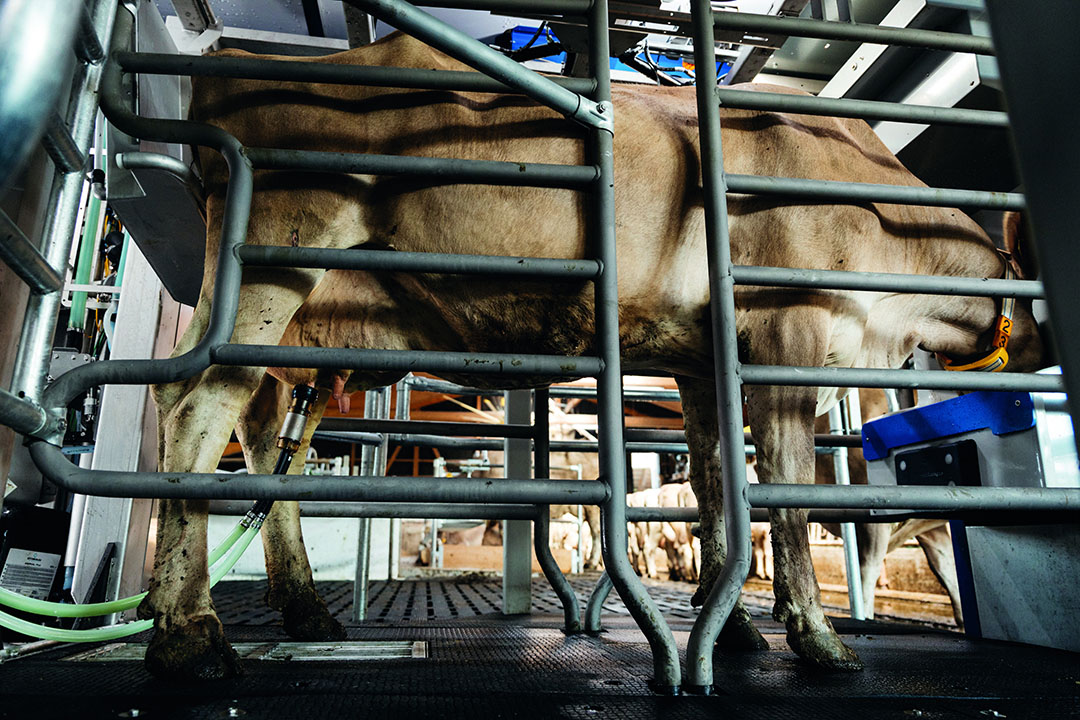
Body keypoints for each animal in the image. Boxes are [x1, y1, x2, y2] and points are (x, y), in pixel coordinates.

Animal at [145, 29, 1045, 682]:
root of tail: (233, 66)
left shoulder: (701, 360)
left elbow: (715, 489)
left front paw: (735, 628)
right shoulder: (787, 328)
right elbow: (785, 493)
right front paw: (817, 640)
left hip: (283, 318)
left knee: (248, 418)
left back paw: (287, 609)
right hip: (280, 243)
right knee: (199, 402)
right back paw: (188, 632)